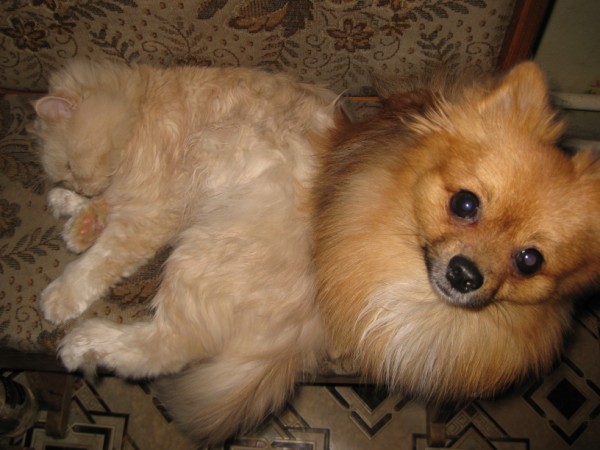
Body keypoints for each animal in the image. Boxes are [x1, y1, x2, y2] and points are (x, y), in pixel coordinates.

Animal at [32, 59, 337, 444]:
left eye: (71, 166)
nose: (80, 186)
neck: (137, 105)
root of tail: (306, 335)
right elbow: (103, 206)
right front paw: (73, 213)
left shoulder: (150, 213)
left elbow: (98, 261)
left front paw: (62, 293)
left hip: (202, 252)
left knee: (167, 348)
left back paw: (81, 344)